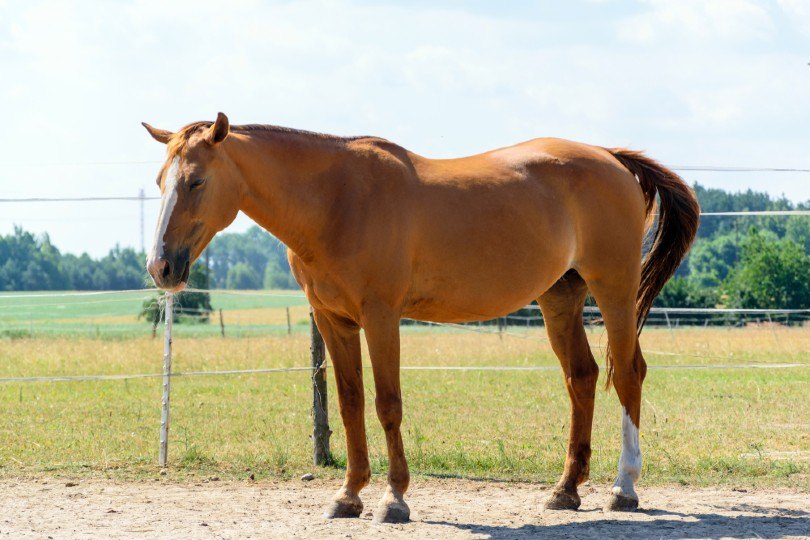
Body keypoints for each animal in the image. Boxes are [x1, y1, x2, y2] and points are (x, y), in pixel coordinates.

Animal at [143, 113, 699, 523]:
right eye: (159, 180)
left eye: (195, 180)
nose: (161, 267)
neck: (336, 201)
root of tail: (611, 158)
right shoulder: (334, 321)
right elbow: (349, 404)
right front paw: (348, 496)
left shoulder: (381, 317)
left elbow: (387, 404)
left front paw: (394, 499)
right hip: (559, 299)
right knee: (581, 378)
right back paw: (565, 491)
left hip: (614, 290)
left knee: (627, 374)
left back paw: (623, 488)